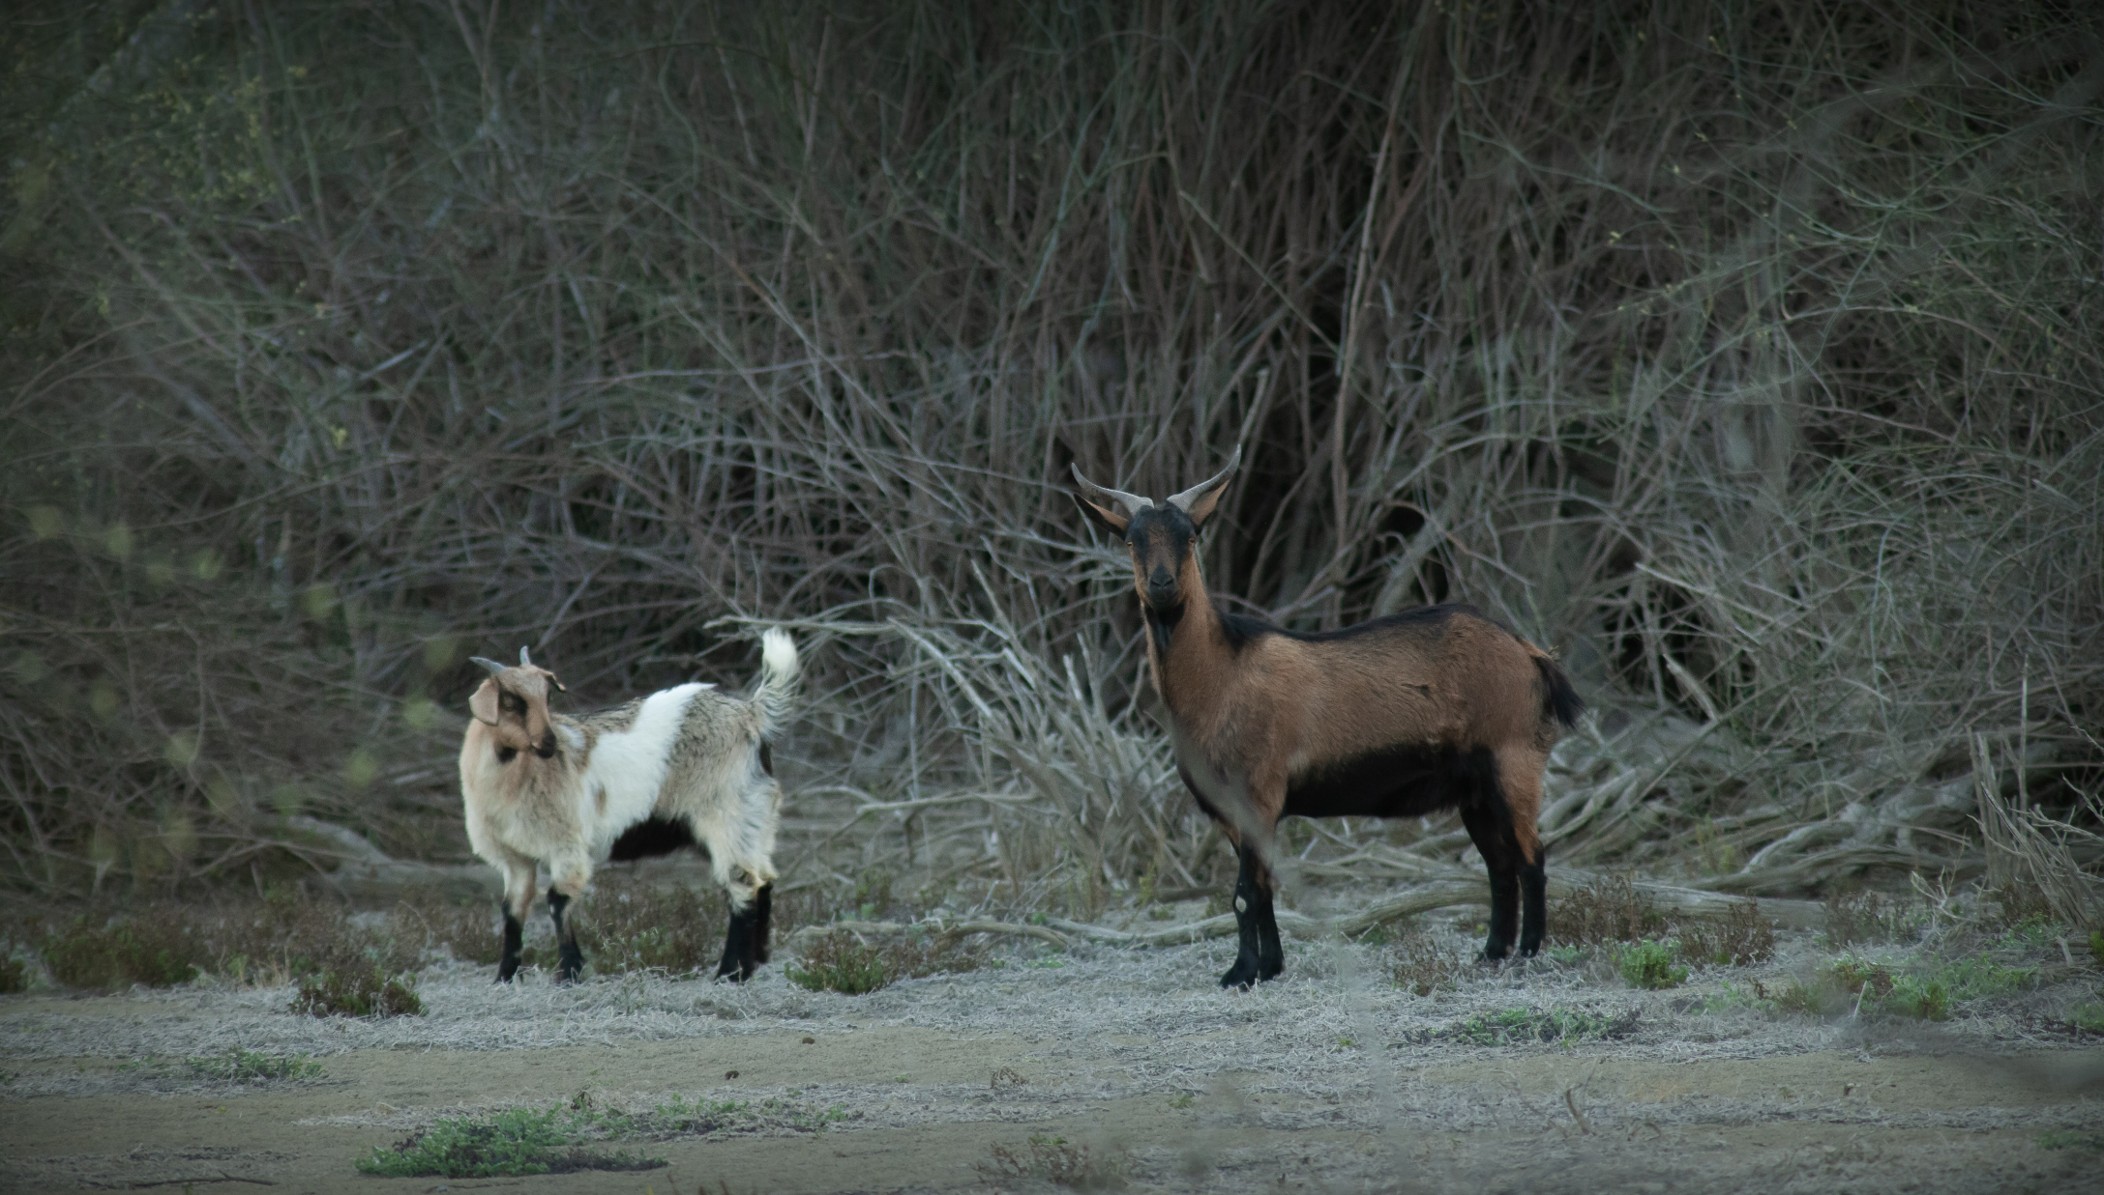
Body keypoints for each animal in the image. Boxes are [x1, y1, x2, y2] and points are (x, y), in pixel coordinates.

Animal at [457, 629, 800, 984]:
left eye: (547, 697)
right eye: (511, 701)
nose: (550, 743)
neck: (518, 774)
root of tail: (752, 715)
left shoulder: (565, 844)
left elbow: (557, 902)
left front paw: (570, 972)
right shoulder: (514, 858)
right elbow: (512, 911)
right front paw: (505, 977)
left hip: (726, 816)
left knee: (742, 886)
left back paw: (729, 973)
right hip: (755, 820)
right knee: (764, 880)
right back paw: (755, 962)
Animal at [1073, 451, 1581, 987]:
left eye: (1190, 536)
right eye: (1131, 540)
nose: (1162, 585)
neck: (1221, 676)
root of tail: (1530, 654)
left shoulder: (1257, 793)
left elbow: (1244, 894)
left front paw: (1241, 972)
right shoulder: (1232, 810)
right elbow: (1262, 888)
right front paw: (1270, 966)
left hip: (1513, 760)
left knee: (1532, 856)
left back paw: (1528, 952)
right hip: (1474, 789)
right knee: (1500, 865)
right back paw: (1491, 952)